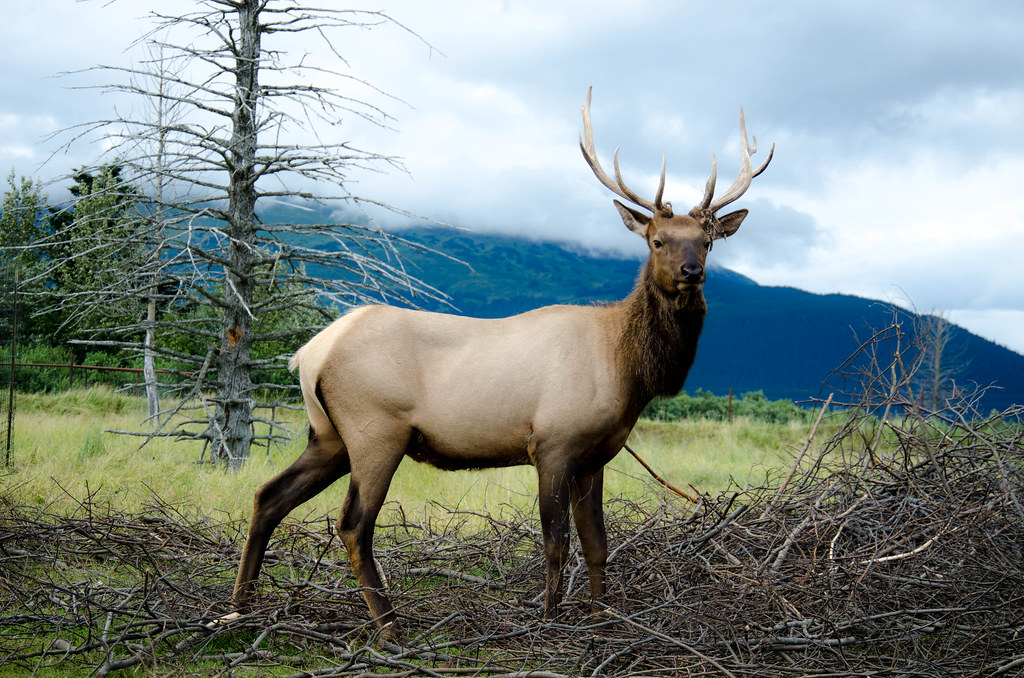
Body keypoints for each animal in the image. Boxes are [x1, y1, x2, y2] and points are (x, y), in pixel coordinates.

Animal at [231, 87, 773, 635]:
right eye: (657, 240)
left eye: (706, 241)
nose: (692, 271)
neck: (626, 370)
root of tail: (309, 353)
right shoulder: (553, 442)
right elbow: (556, 543)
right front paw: (550, 620)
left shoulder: (595, 455)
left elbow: (597, 545)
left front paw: (601, 617)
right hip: (375, 429)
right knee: (352, 524)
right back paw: (390, 628)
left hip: (328, 435)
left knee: (267, 496)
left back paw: (238, 608)